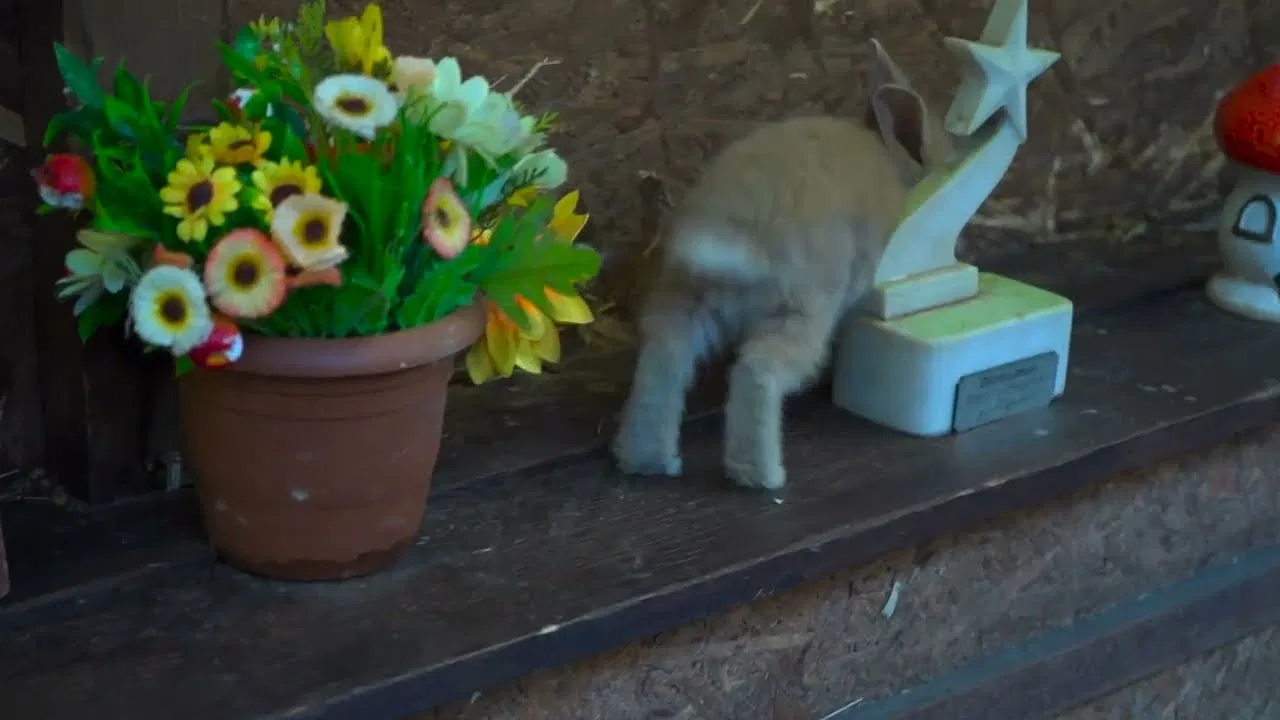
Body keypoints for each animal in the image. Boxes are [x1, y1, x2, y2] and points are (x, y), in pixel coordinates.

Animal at [611, 39, 957, 491]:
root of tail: (739, 226)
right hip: (799, 313)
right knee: (758, 373)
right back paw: (762, 477)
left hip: (683, 300)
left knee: (662, 363)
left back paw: (649, 462)